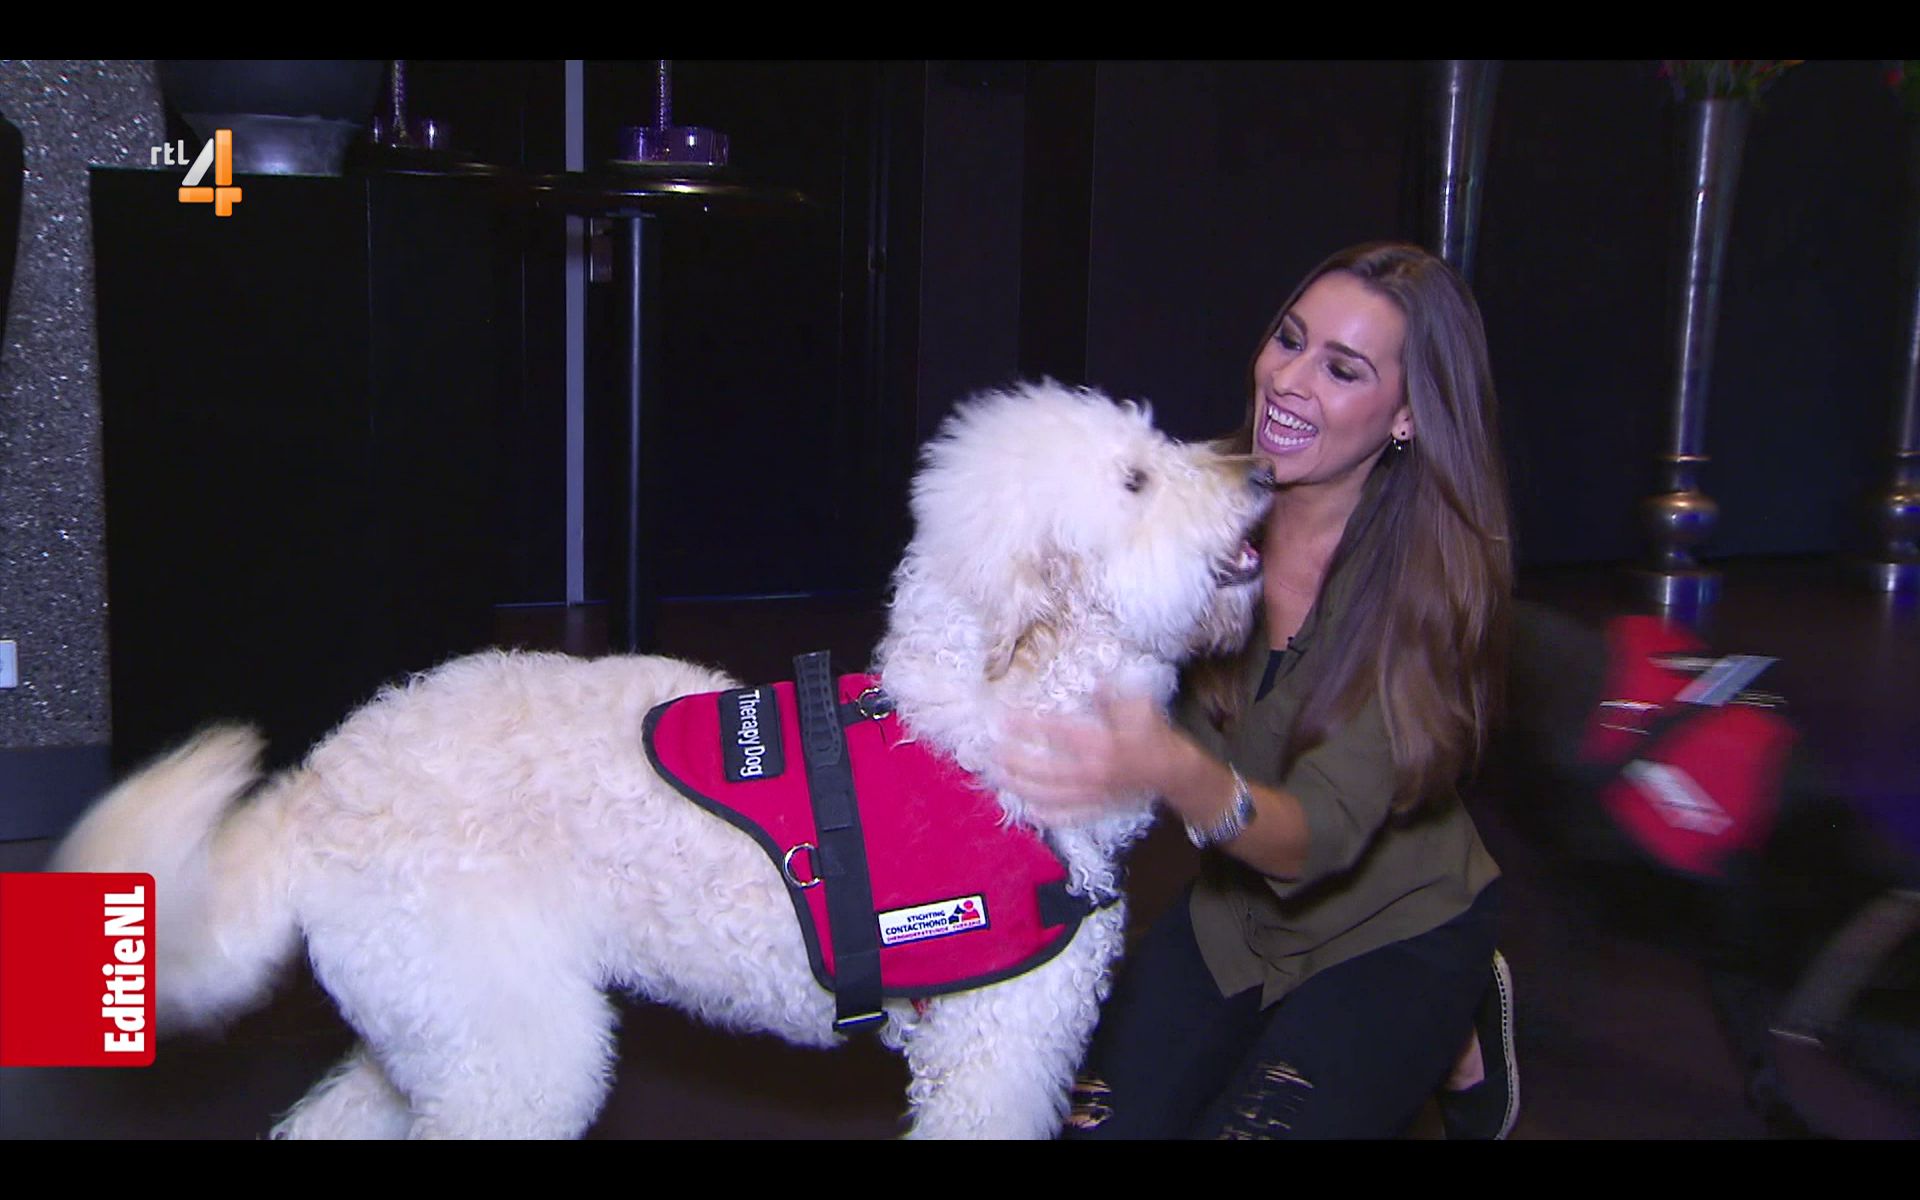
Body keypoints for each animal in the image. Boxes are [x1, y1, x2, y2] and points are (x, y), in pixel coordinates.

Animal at [51, 380, 1273, 1138]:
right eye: (1135, 481)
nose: (1262, 467)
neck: (981, 721)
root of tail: (318, 788)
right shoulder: (996, 1054)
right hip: (512, 1054)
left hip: (434, 1033)